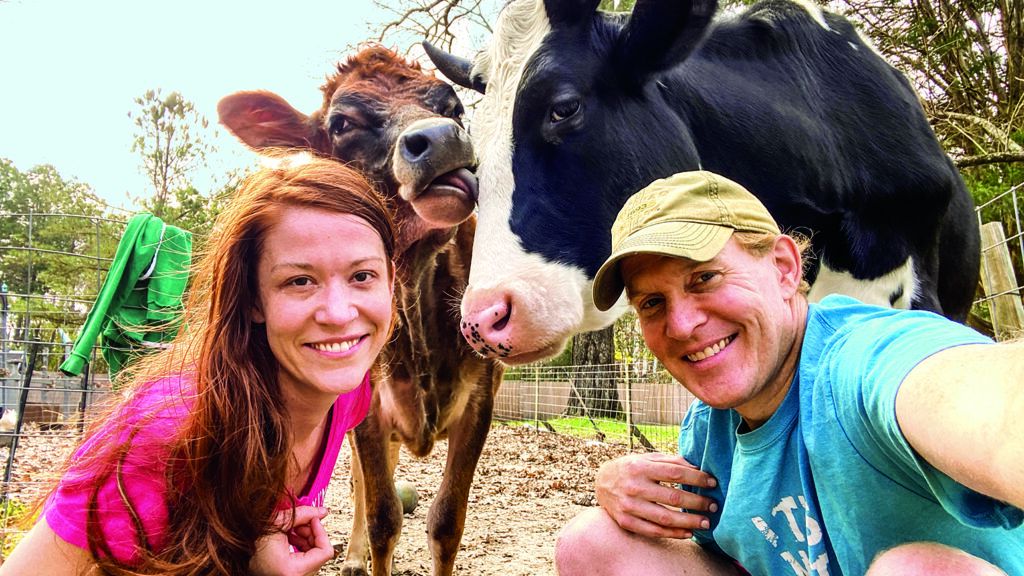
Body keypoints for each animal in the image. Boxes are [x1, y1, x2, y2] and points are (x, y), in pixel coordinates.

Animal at [218, 45, 505, 573]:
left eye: (453, 107)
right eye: (342, 123)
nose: (441, 140)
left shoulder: (481, 400)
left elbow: (446, 522)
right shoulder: (366, 406)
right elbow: (382, 516)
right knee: (361, 486)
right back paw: (352, 556)